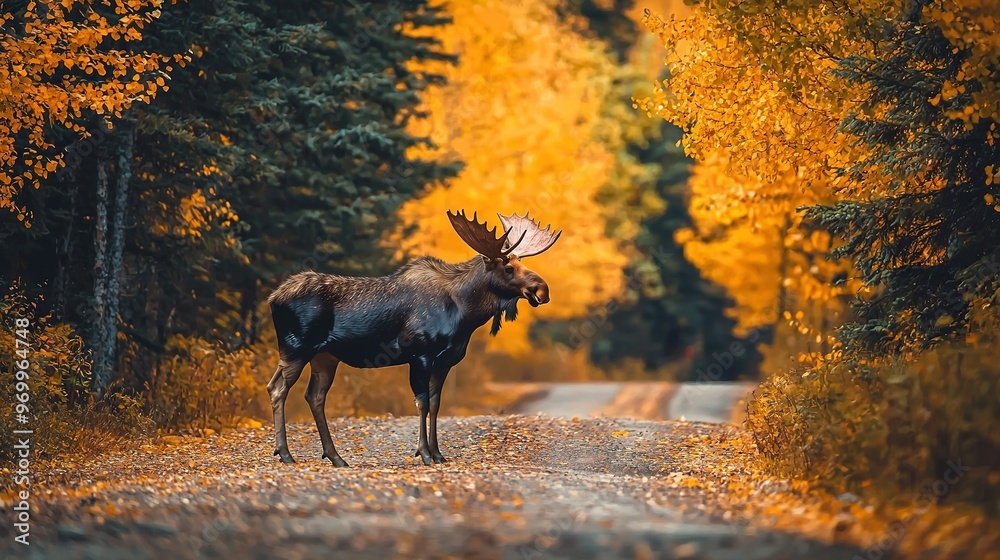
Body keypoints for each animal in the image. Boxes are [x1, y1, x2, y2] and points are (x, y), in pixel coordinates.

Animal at [268, 209, 564, 464]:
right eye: (508, 268)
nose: (543, 290)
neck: (464, 313)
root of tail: (273, 298)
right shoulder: (420, 353)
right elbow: (422, 402)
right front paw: (423, 453)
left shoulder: (445, 360)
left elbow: (435, 403)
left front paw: (438, 453)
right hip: (296, 347)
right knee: (278, 389)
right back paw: (285, 453)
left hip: (324, 356)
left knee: (314, 396)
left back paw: (336, 457)